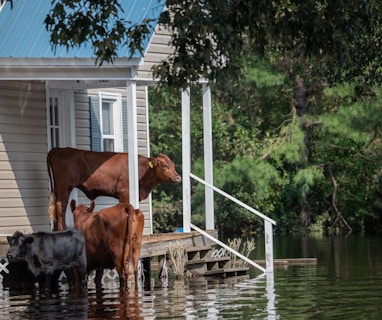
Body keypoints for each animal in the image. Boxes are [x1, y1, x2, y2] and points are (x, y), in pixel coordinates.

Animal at [47, 148, 181, 230]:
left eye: (173, 165)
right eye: (164, 165)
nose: (178, 177)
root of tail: (60, 149)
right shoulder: (124, 193)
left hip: (58, 187)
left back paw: (55, 230)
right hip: (65, 186)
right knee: (60, 205)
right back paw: (62, 229)